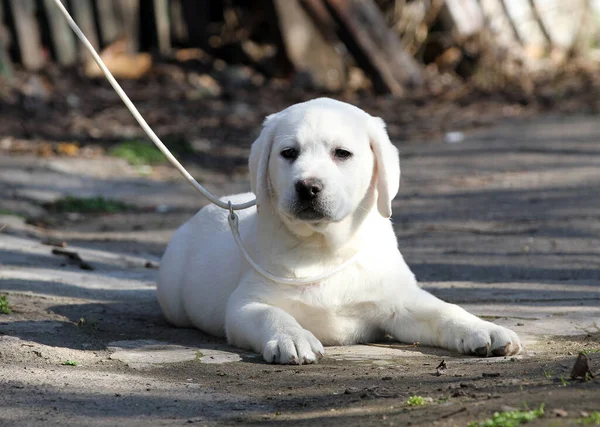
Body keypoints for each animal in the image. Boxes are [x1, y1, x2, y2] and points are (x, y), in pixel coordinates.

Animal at [156, 98, 520, 364]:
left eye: (342, 153)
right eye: (288, 153)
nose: (307, 187)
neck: (324, 249)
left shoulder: (400, 301)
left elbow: (444, 311)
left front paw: (484, 330)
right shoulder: (246, 304)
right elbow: (270, 315)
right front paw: (293, 337)